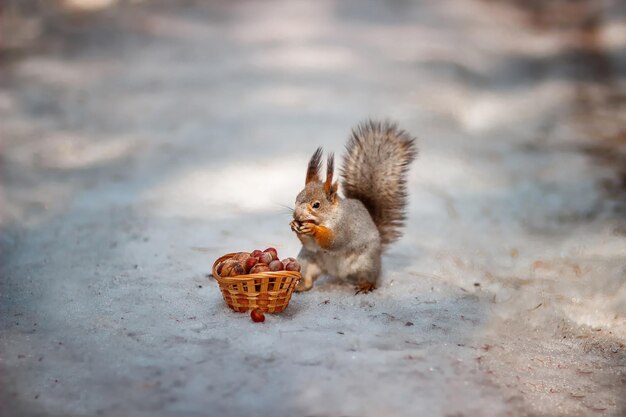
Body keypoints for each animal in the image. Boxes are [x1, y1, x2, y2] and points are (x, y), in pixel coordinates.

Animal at [290, 118, 416, 290]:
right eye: (296, 199)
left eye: (316, 205)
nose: (296, 215)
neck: (329, 217)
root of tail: (337, 274)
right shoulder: (311, 248)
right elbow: (311, 244)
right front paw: (294, 226)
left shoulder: (346, 226)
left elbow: (334, 241)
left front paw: (313, 229)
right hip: (307, 260)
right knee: (309, 277)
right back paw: (300, 286)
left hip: (366, 262)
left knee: (369, 276)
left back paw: (366, 286)